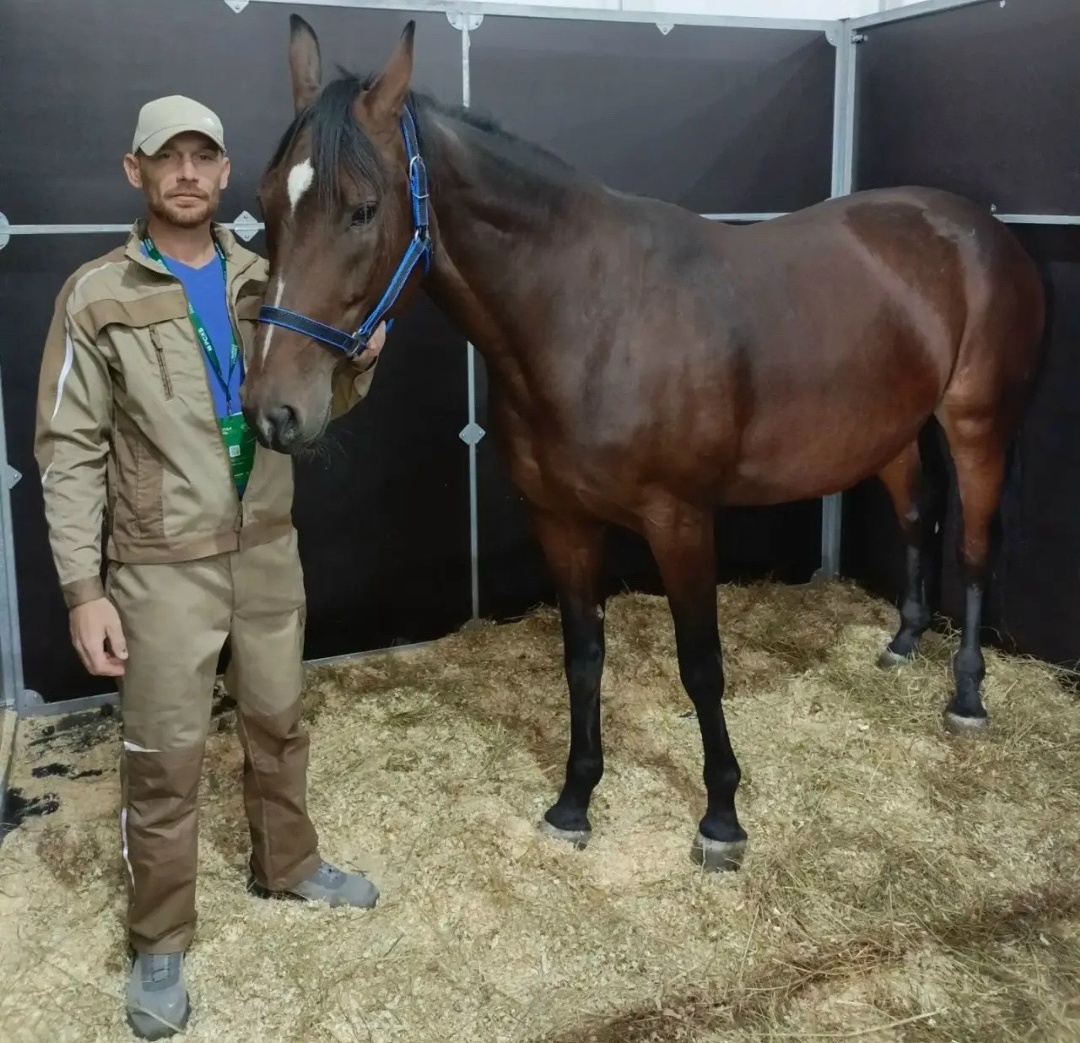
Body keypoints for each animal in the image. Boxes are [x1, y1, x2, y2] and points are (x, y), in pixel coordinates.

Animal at [240, 14, 1046, 871]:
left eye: (361, 210)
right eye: (266, 202)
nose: (273, 410)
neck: (588, 316)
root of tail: (980, 230)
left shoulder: (681, 521)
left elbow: (701, 664)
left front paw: (721, 816)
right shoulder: (560, 521)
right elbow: (583, 657)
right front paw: (575, 799)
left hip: (978, 425)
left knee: (975, 546)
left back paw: (966, 694)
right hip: (890, 431)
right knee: (919, 515)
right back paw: (902, 641)